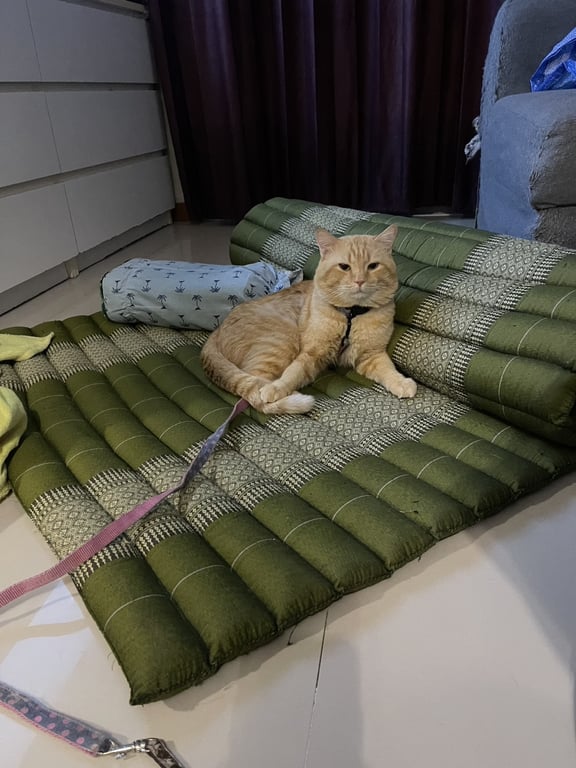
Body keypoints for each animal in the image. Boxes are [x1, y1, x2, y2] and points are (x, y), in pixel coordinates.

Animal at [200, 225, 417, 414]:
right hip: (280, 342)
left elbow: (388, 370)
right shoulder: (311, 354)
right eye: (344, 267)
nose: (359, 281)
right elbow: (292, 374)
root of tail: (216, 332)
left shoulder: (371, 355)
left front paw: (401, 383)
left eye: (373, 266)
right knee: (253, 390)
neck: (351, 315)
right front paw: (277, 388)